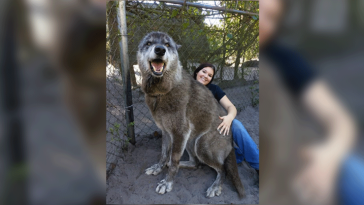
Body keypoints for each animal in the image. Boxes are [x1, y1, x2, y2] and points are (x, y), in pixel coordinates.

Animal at [136, 32, 245, 199]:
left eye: (167, 45)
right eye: (148, 43)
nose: (160, 50)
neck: (161, 92)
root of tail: (231, 141)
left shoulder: (179, 132)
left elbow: (174, 160)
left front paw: (167, 183)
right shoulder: (167, 132)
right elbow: (163, 154)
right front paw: (158, 167)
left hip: (200, 145)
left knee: (222, 169)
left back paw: (215, 186)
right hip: (189, 141)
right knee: (196, 163)